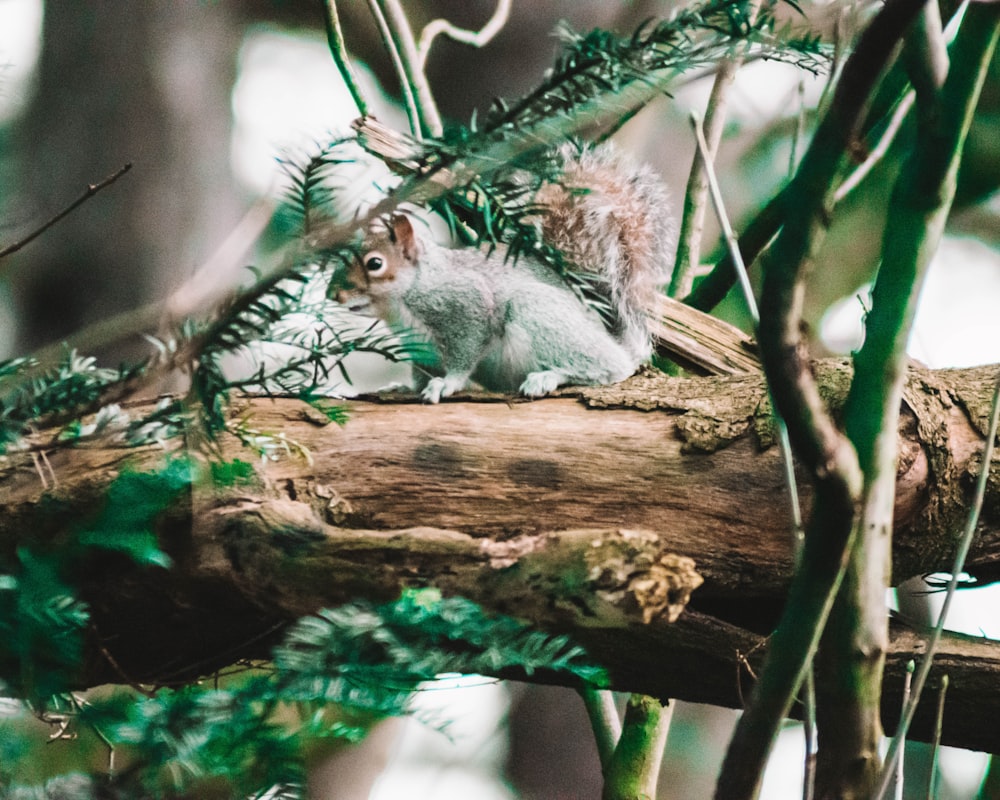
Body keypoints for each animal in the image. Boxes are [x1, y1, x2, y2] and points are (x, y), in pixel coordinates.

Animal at [348, 141, 676, 404]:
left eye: (375, 263)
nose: (337, 293)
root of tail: (617, 341)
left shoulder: (466, 305)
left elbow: (464, 354)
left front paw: (447, 384)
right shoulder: (420, 348)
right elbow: (421, 374)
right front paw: (406, 388)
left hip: (538, 313)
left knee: (608, 367)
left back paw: (550, 377)